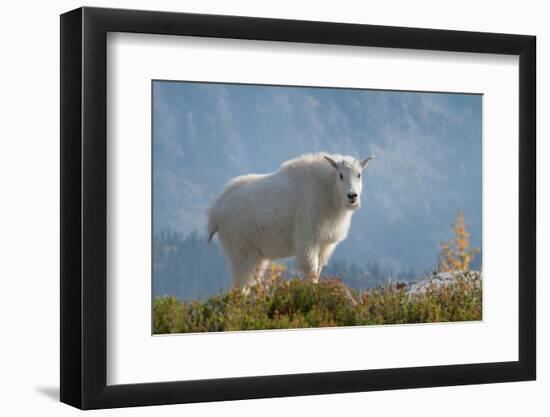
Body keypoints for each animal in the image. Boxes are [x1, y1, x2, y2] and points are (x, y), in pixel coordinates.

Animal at [207, 153, 376, 290]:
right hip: (240, 248)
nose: (352, 196)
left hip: (256, 254)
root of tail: (216, 212)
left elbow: (319, 269)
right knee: (240, 283)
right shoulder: (307, 236)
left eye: (359, 174)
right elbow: (310, 270)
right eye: (340, 175)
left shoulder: (324, 244)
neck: (329, 192)